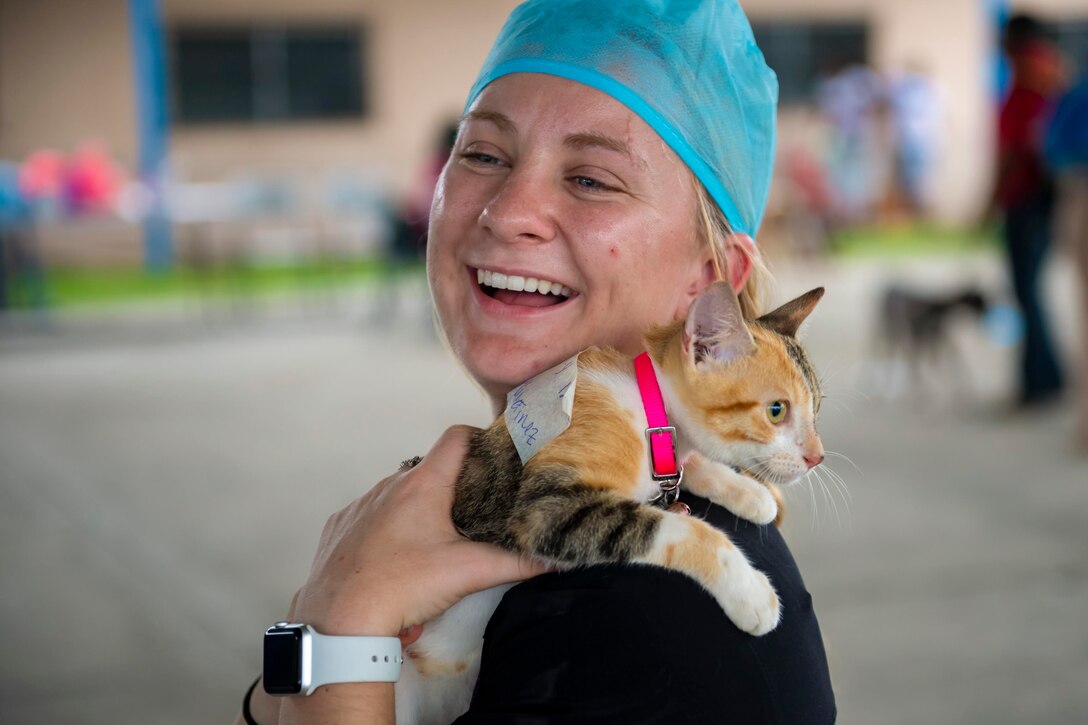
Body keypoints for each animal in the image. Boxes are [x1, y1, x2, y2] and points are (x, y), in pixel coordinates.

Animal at [396, 283, 826, 722]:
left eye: (817, 408)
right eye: (776, 411)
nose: (817, 457)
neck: (646, 409)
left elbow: (687, 466)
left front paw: (747, 493)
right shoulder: (545, 512)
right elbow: (676, 527)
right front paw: (749, 592)